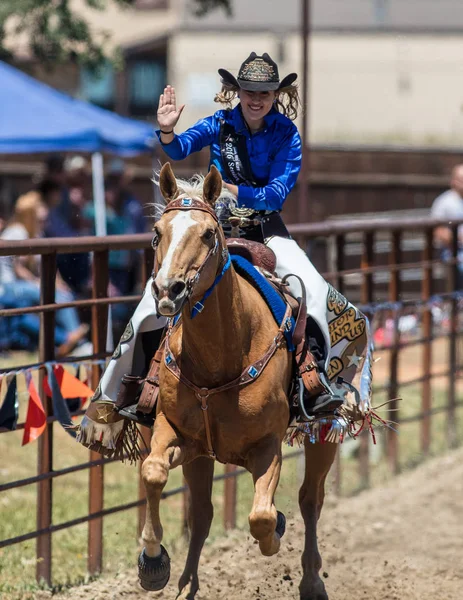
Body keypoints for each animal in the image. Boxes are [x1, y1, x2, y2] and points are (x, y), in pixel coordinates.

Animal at [138, 161, 338, 600]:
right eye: (157, 232)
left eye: (207, 234)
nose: (168, 289)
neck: (222, 354)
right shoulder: (176, 433)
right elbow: (153, 472)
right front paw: (152, 561)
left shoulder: (267, 447)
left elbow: (262, 516)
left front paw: (276, 530)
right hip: (200, 456)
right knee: (201, 513)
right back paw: (186, 586)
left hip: (325, 432)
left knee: (310, 499)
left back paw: (312, 580)